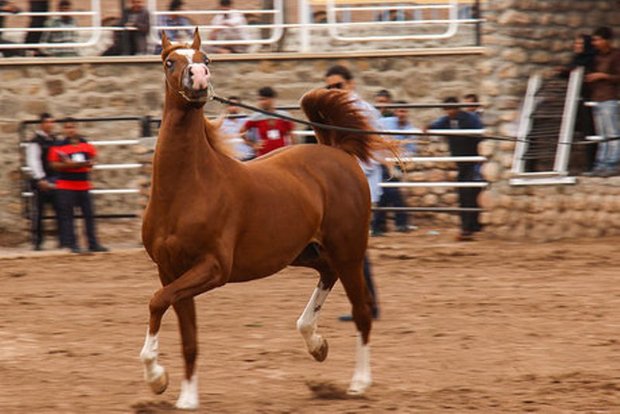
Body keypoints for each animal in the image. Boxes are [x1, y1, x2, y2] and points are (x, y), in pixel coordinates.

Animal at [140, 29, 394, 410]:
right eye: (170, 61)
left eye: (206, 58)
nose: (199, 77)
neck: (187, 189)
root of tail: (338, 152)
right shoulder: (171, 270)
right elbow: (186, 335)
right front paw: (184, 396)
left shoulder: (214, 268)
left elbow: (157, 301)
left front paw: (156, 377)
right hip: (305, 252)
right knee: (327, 274)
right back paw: (315, 343)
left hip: (348, 250)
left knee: (362, 311)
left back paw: (359, 383)